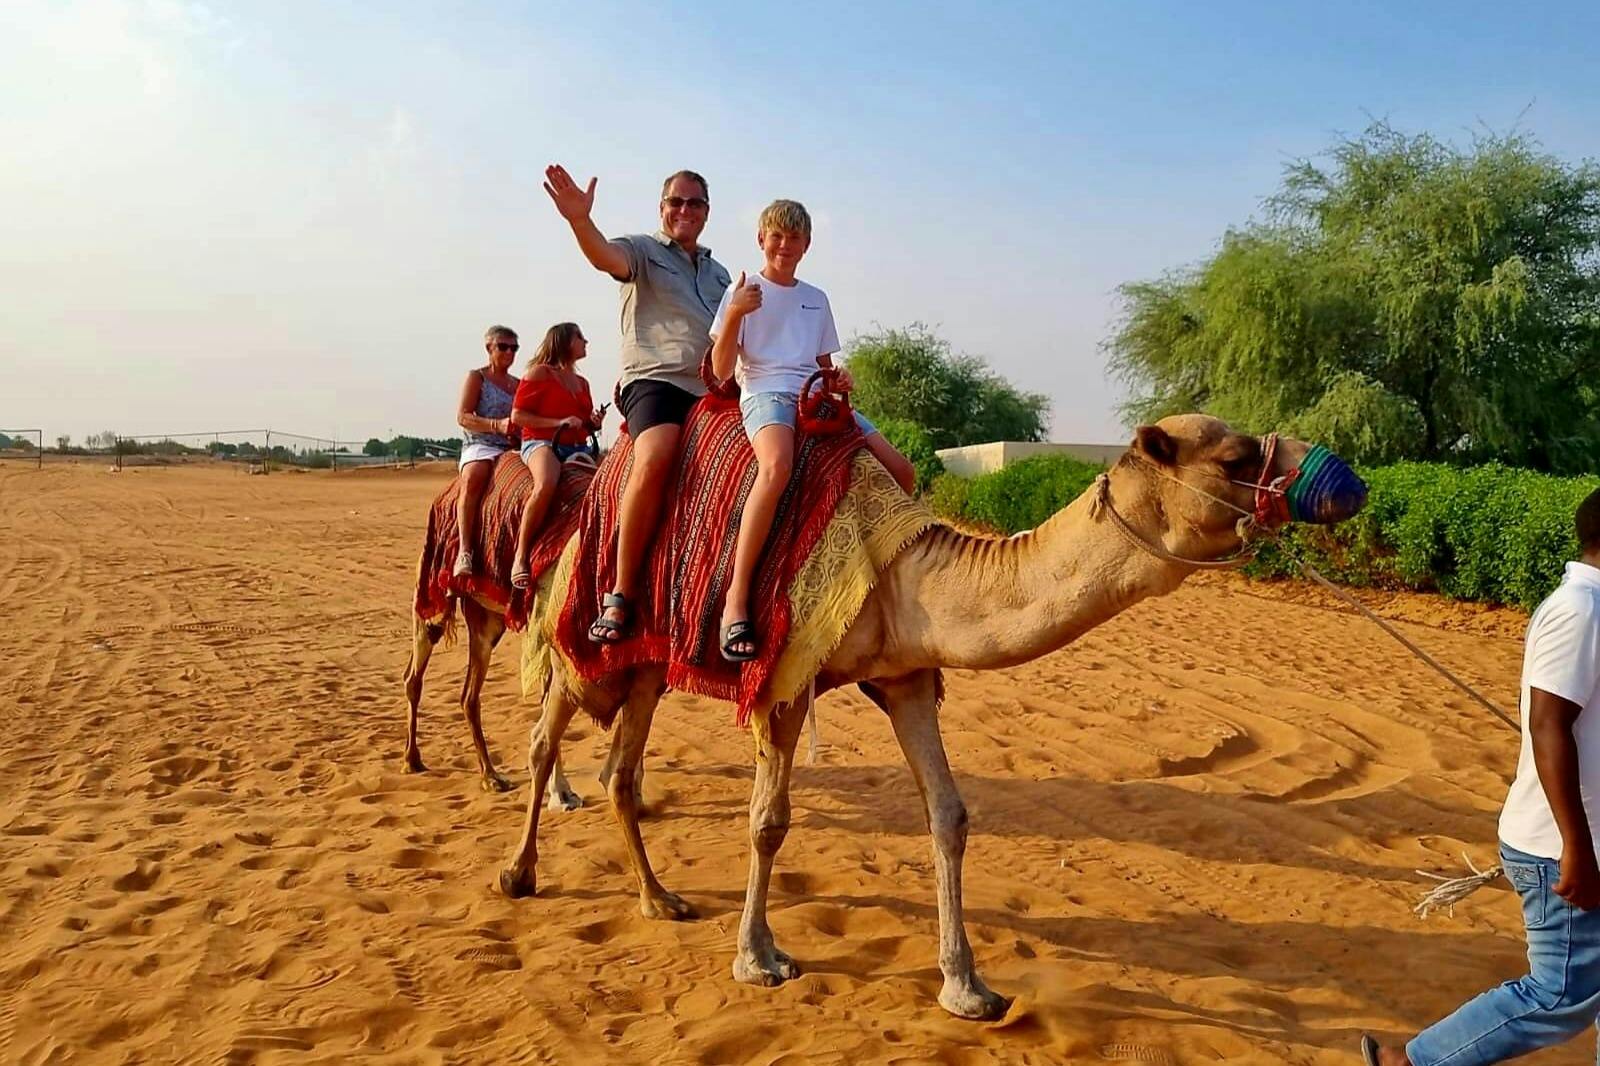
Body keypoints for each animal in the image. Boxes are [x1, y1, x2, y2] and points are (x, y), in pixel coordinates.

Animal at [496, 409, 1363, 1017]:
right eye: (1235, 457)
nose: (1347, 482)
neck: (905, 576)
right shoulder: (784, 679)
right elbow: (769, 821)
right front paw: (759, 959)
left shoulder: (908, 676)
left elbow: (949, 815)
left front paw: (967, 986)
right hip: (585, 638)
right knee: (544, 738)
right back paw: (520, 873)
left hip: (646, 664)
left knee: (620, 770)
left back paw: (658, 899)